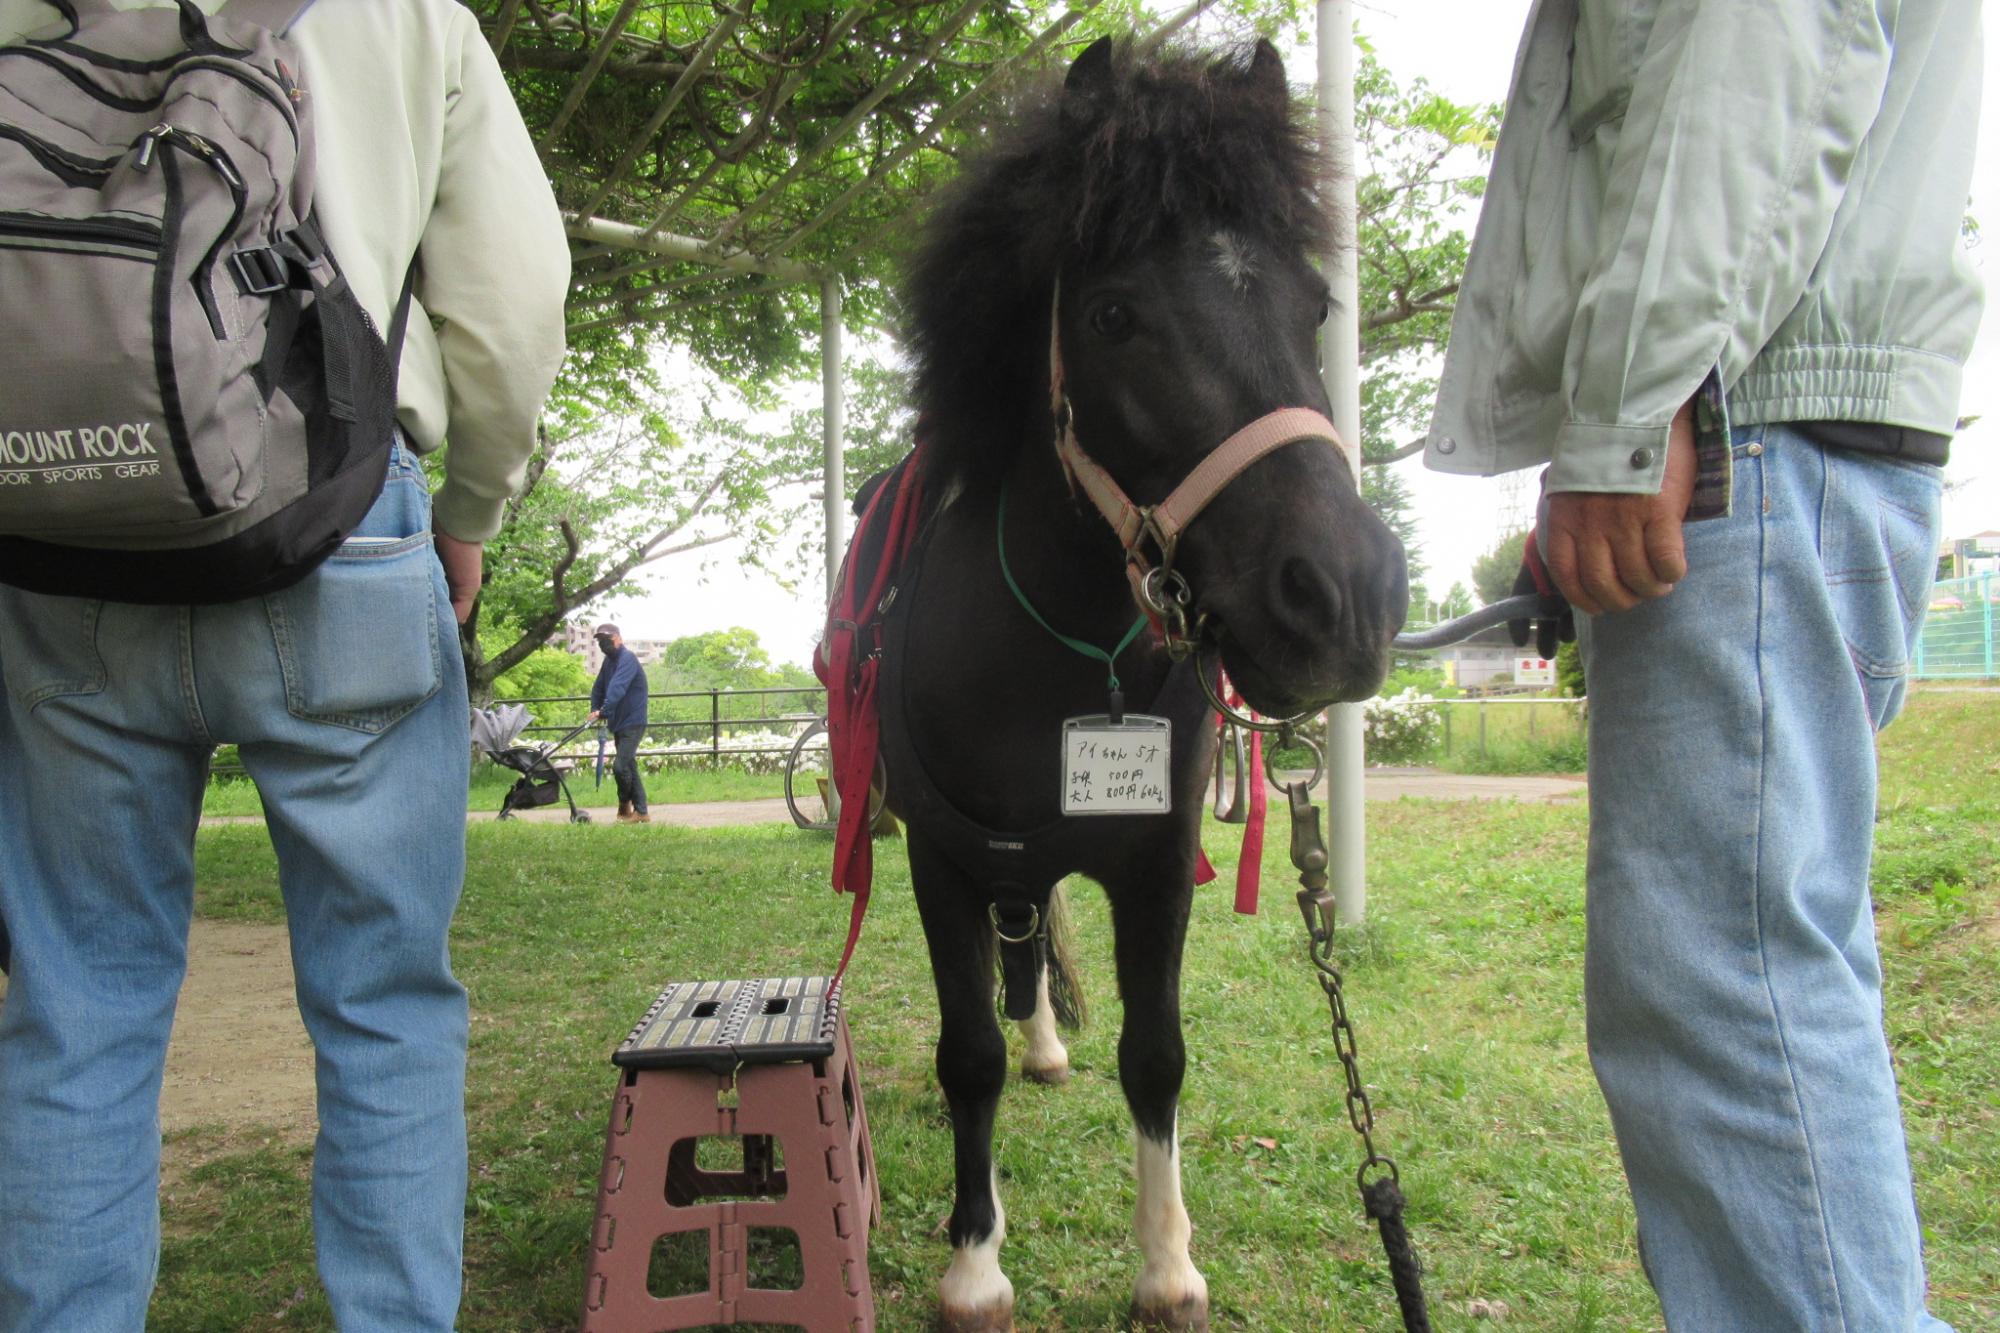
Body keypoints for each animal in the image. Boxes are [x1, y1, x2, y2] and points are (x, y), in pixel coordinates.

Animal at [829, 36, 1406, 1332]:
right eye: (1112, 313)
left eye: (1313, 306)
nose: (1343, 597)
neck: (1056, 653)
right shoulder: (940, 860)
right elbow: (966, 1054)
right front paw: (974, 1263)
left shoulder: (1152, 860)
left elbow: (1156, 1052)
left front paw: (1165, 1263)